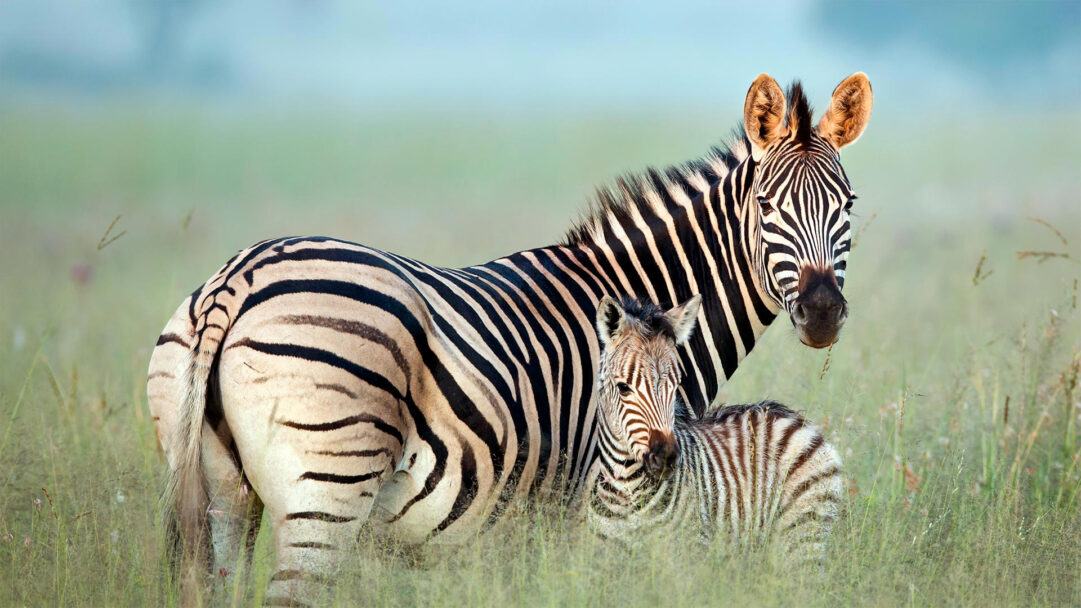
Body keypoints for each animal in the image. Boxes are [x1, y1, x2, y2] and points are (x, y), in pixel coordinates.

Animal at [585, 295, 843, 559]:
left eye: (676, 385)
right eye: (623, 387)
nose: (666, 458)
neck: (625, 487)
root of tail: (793, 416)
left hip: (804, 535)